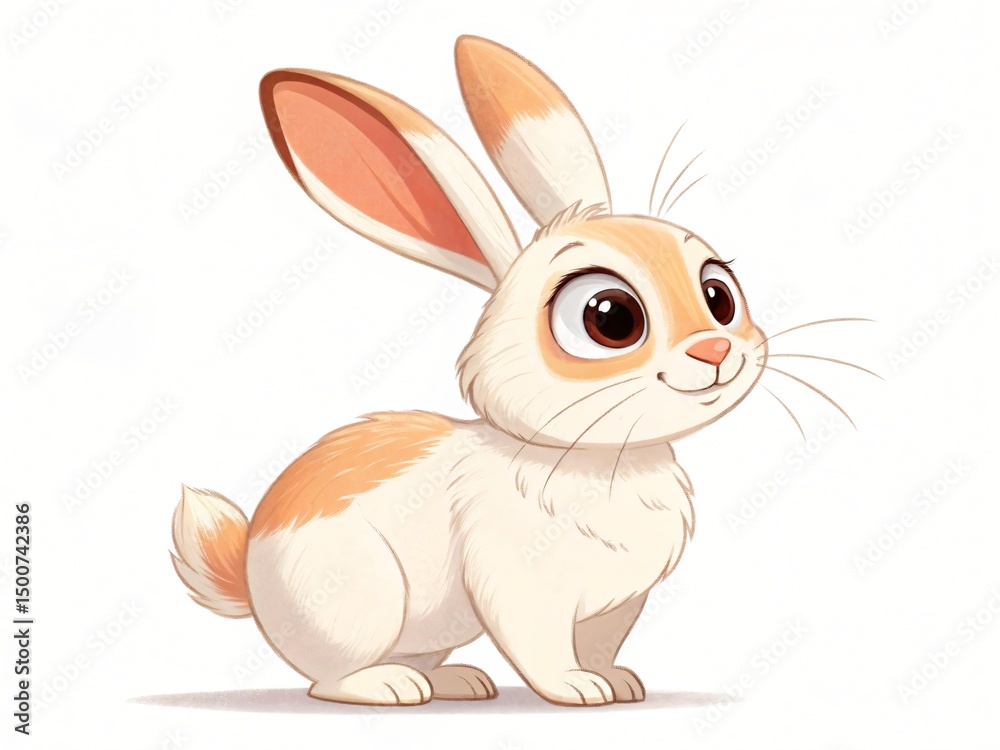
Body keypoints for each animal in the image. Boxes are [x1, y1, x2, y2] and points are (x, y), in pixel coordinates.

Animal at [171, 34, 767, 707]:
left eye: (719, 294)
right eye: (610, 317)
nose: (715, 351)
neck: (594, 458)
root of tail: (251, 579)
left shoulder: (617, 604)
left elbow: (602, 645)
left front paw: (620, 684)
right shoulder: (521, 587)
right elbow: (541, 649)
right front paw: (579, 690)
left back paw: (455, 681)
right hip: (356, 603)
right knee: (328, 679)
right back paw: (390, 686)